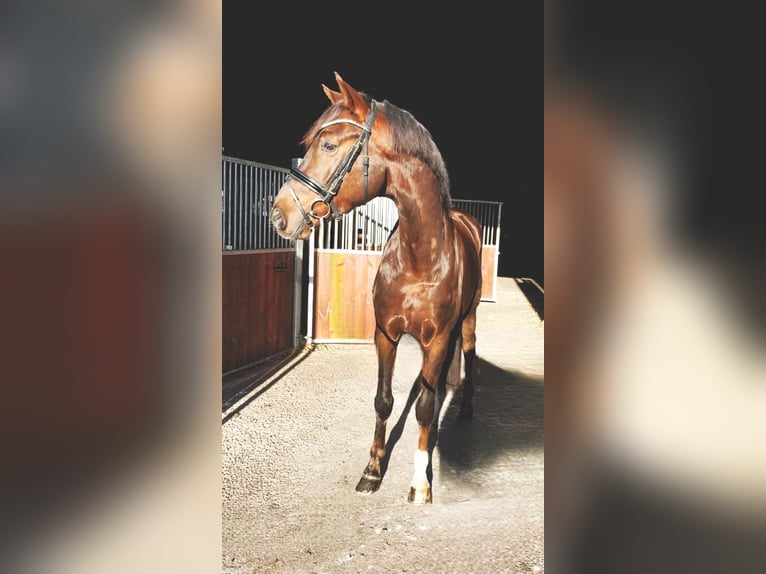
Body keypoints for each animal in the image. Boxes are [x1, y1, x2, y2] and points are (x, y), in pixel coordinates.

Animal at [270, 72, 483, 504]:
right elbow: (385, 402)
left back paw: (465, 408)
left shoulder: (436, 338)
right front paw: (371, 471)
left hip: (468, 320)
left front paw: (420, 483)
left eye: (329, 144)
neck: (420, 257)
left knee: (468, 353)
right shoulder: (386, 334)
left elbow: (422, 408)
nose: (278, 215)